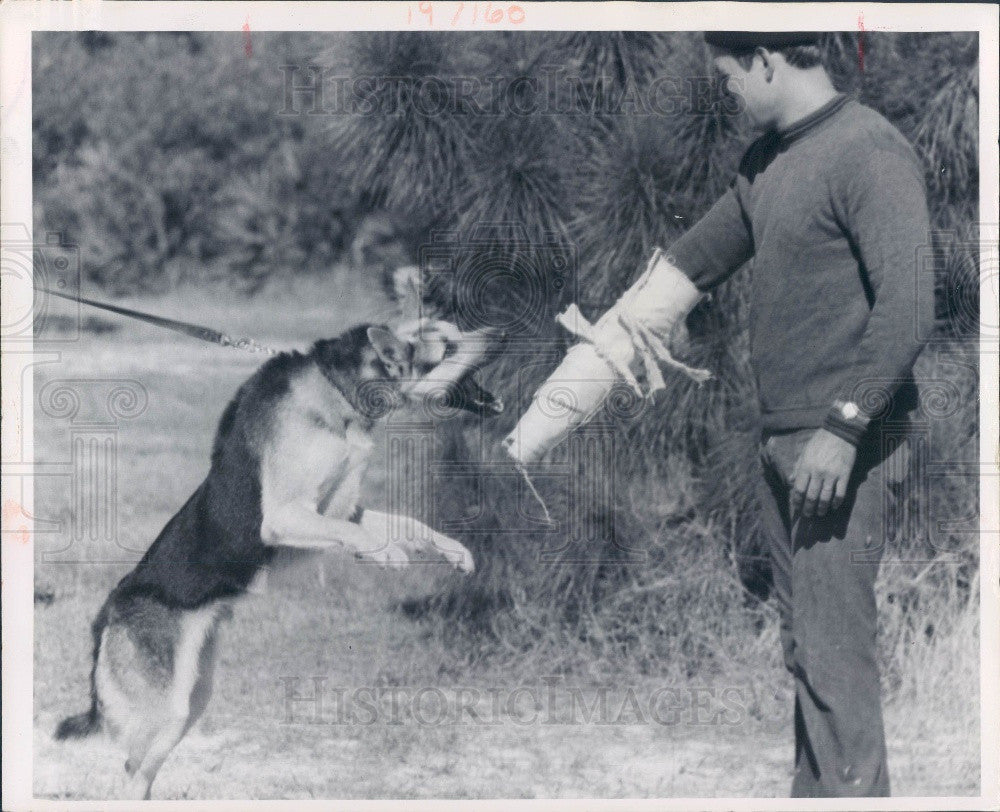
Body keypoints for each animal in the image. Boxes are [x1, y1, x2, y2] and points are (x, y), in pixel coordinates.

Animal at [54, 320, 500, 796]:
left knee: (140, 767)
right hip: (168, 707)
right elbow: (359, 534)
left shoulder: (340, 509)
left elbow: (404, 524)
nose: (501, 332)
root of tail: (109, 611)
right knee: (132, 769)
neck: (337, 388)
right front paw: (386, 554)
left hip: (193, 698)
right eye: (448, 346)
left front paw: (451, 551)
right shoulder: (287, 517)